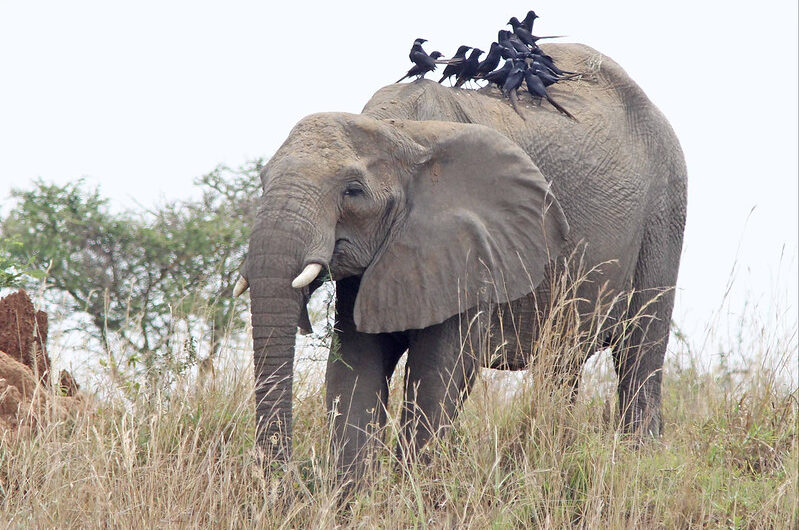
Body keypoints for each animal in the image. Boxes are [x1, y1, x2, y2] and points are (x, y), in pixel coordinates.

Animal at [236, 43, 688, 476]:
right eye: (262, 180)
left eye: (353, 191)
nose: (276, 475)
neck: (400, 133)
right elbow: (354, 366)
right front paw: (355, 493)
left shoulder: (473, 248)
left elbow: (440, 371)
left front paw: (412, 488)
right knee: (562, 362)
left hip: (665, 209)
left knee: (639, 352)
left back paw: (637, 459)